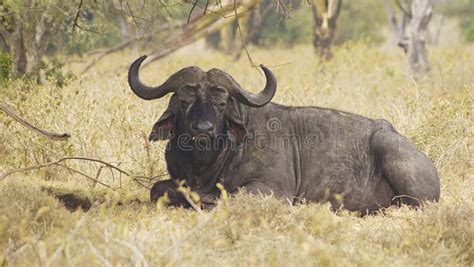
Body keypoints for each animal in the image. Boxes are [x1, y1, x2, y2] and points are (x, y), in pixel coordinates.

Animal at [129, 55, 440, 215]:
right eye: (185, 101)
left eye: (221, 103)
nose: (203, 129)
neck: (205, 164)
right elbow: (157, 189)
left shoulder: (271, 189)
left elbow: (230, 197)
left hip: (392, 155)